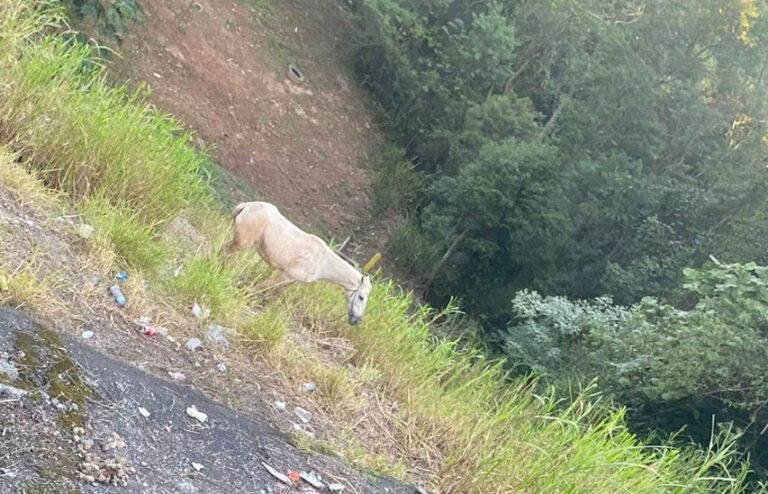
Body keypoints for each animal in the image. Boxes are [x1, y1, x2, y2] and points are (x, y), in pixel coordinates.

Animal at [226, 201, 372, 325]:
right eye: (361, 297)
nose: (356, 321)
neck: (322, 262)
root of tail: (247, 205)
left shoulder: (291, 280)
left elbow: (274, 294)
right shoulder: (287, 275)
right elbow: (266, 285)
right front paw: (247, 292)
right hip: (242, 243)